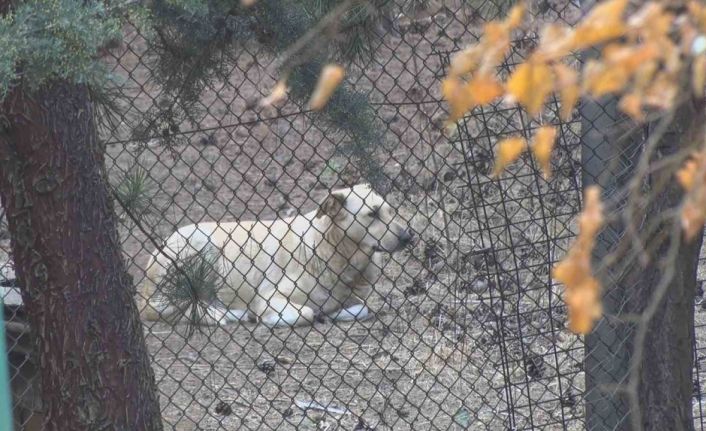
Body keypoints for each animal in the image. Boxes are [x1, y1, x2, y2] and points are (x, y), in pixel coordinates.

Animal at [136, 183, 412, 328]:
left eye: (389, 210)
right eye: (372, 214)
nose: (409, 237)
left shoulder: (355, 298)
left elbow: (361, 308)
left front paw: (332, 313)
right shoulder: (269, 297)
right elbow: (306, 312)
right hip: (202, 246)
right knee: (177, 309)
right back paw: (228, 315)